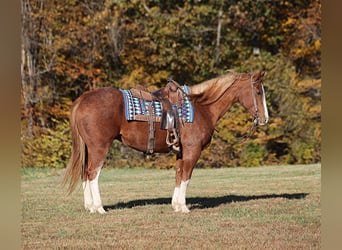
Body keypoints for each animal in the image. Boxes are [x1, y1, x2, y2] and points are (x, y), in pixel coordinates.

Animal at [62, 71, 268, 214]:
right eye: (258, 91)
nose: (265, 119)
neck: (202, 107)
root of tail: (83, 99)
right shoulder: (192, 151)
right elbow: (186, 176)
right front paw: (183, 207)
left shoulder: (180, 152)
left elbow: (178, 175)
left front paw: (176, 205)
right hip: (99, 148)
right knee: (92, 174)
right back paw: (98, 207)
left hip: (89, 149)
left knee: (85, 173)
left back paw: (90, 206)